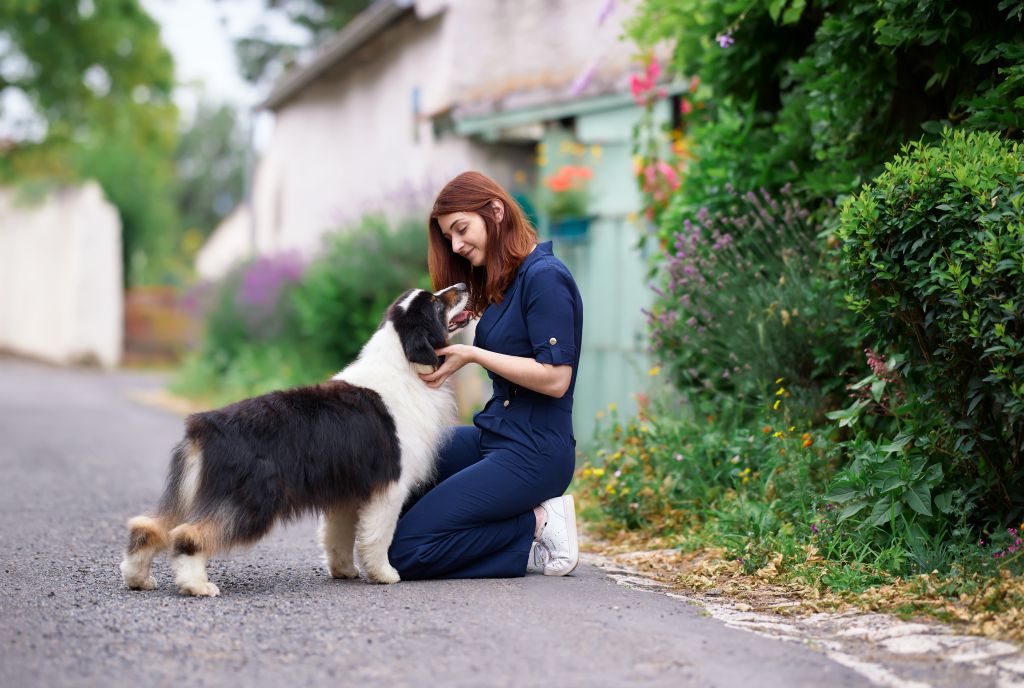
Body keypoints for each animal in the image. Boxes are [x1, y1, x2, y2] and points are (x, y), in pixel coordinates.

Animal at [120, 284, 471, 597]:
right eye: (437, 303)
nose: (464, 284)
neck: (404, 363)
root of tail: (204, 426)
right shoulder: (390, 487)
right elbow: (377, 536)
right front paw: (384, 575)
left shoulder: (347, 488)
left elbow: (338, 535)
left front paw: (343, 571)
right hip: (250, 498)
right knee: (187, 534)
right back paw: (197, 585)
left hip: (192, 491)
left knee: (149, 526)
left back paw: (138, 577)